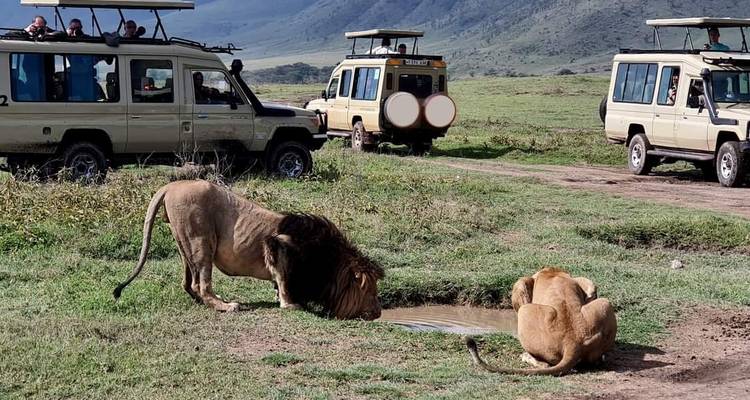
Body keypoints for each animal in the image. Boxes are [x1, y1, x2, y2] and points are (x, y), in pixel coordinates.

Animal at [113, 180, 385, 320]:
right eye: (371, 291)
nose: (379, 313)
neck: (330, 262)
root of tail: (171, 185)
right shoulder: (279, 243)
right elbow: (283, 279)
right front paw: (290, 304)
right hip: (201, 239)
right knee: (201, 284)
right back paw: (226, 306)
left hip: (184, 243)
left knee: (188, 283)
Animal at [464, 267, 617, 376]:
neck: (552, 272)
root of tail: (573, 341)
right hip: (605, 303)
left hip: (525, 310)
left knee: (545, 364)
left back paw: (525, 356)